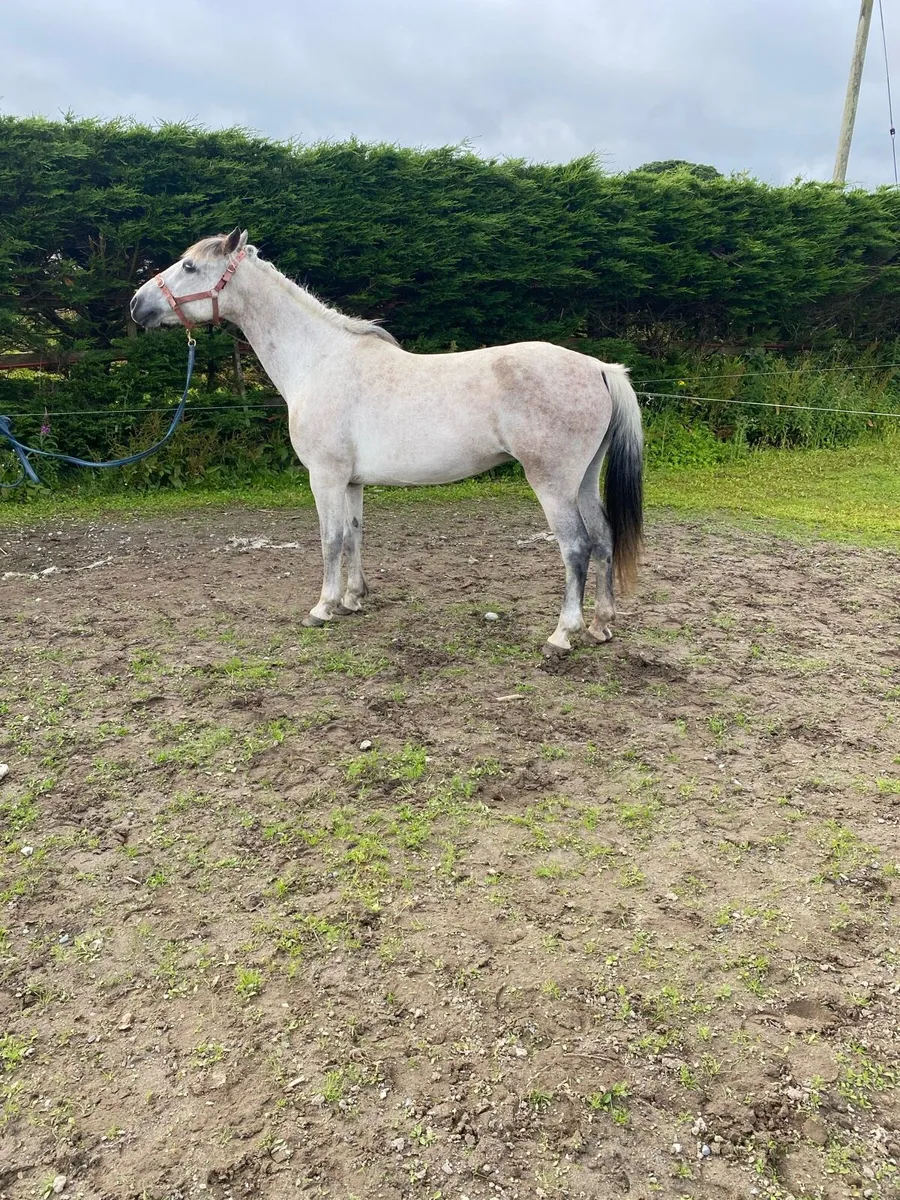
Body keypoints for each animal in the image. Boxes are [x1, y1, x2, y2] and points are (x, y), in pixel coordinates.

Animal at [130, 228, 644, 655]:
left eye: (190, 267)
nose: (137, 305)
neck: (318, 360)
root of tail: (600, 368)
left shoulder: (325, 477)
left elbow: (330, 538)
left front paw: (323, 607)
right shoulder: (352, 481)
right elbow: (355, 534)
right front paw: (354, 599)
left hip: (552, 484)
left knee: (576, 547)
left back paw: (563, 634)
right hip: (584, 479)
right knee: (603, 539)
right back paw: (601, 625)